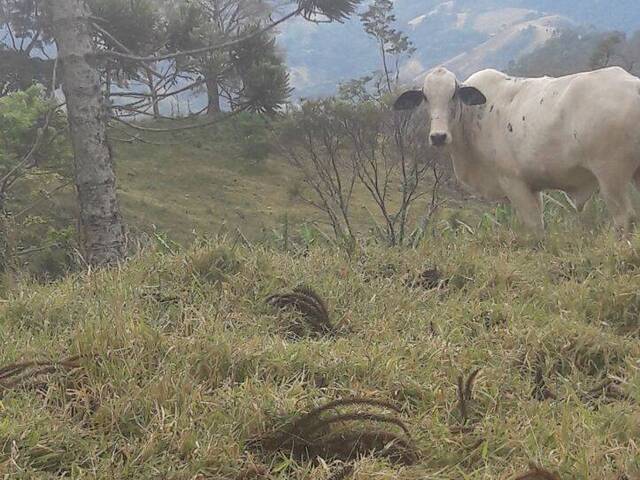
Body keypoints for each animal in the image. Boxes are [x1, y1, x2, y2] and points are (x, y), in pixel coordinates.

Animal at [392, 66, 640, 236]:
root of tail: (634, 84)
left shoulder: (514, 182)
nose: (438, 136)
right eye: (425, 97)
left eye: (453, 94)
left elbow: (534, 227)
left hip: (610, 176)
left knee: (624, 218)